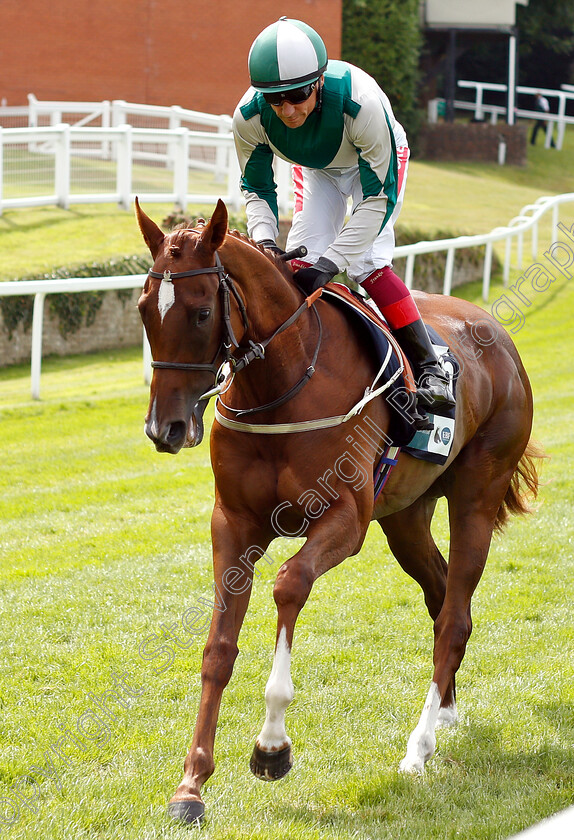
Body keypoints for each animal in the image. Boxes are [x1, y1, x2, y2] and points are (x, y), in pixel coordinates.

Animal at [135, 200, 540, 824]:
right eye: (142, 310)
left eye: (202, 313)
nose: (166, 428)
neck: (280, 385)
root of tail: (498, 336)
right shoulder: (232, 524)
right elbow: (218, 647)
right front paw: (191, 783)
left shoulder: (345, 521)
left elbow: (288, 584)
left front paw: (271, 746)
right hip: (404, 516)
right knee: (441, 594)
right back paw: (445, 711)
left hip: (477, 496)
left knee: (454, 616)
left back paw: (419, 745)